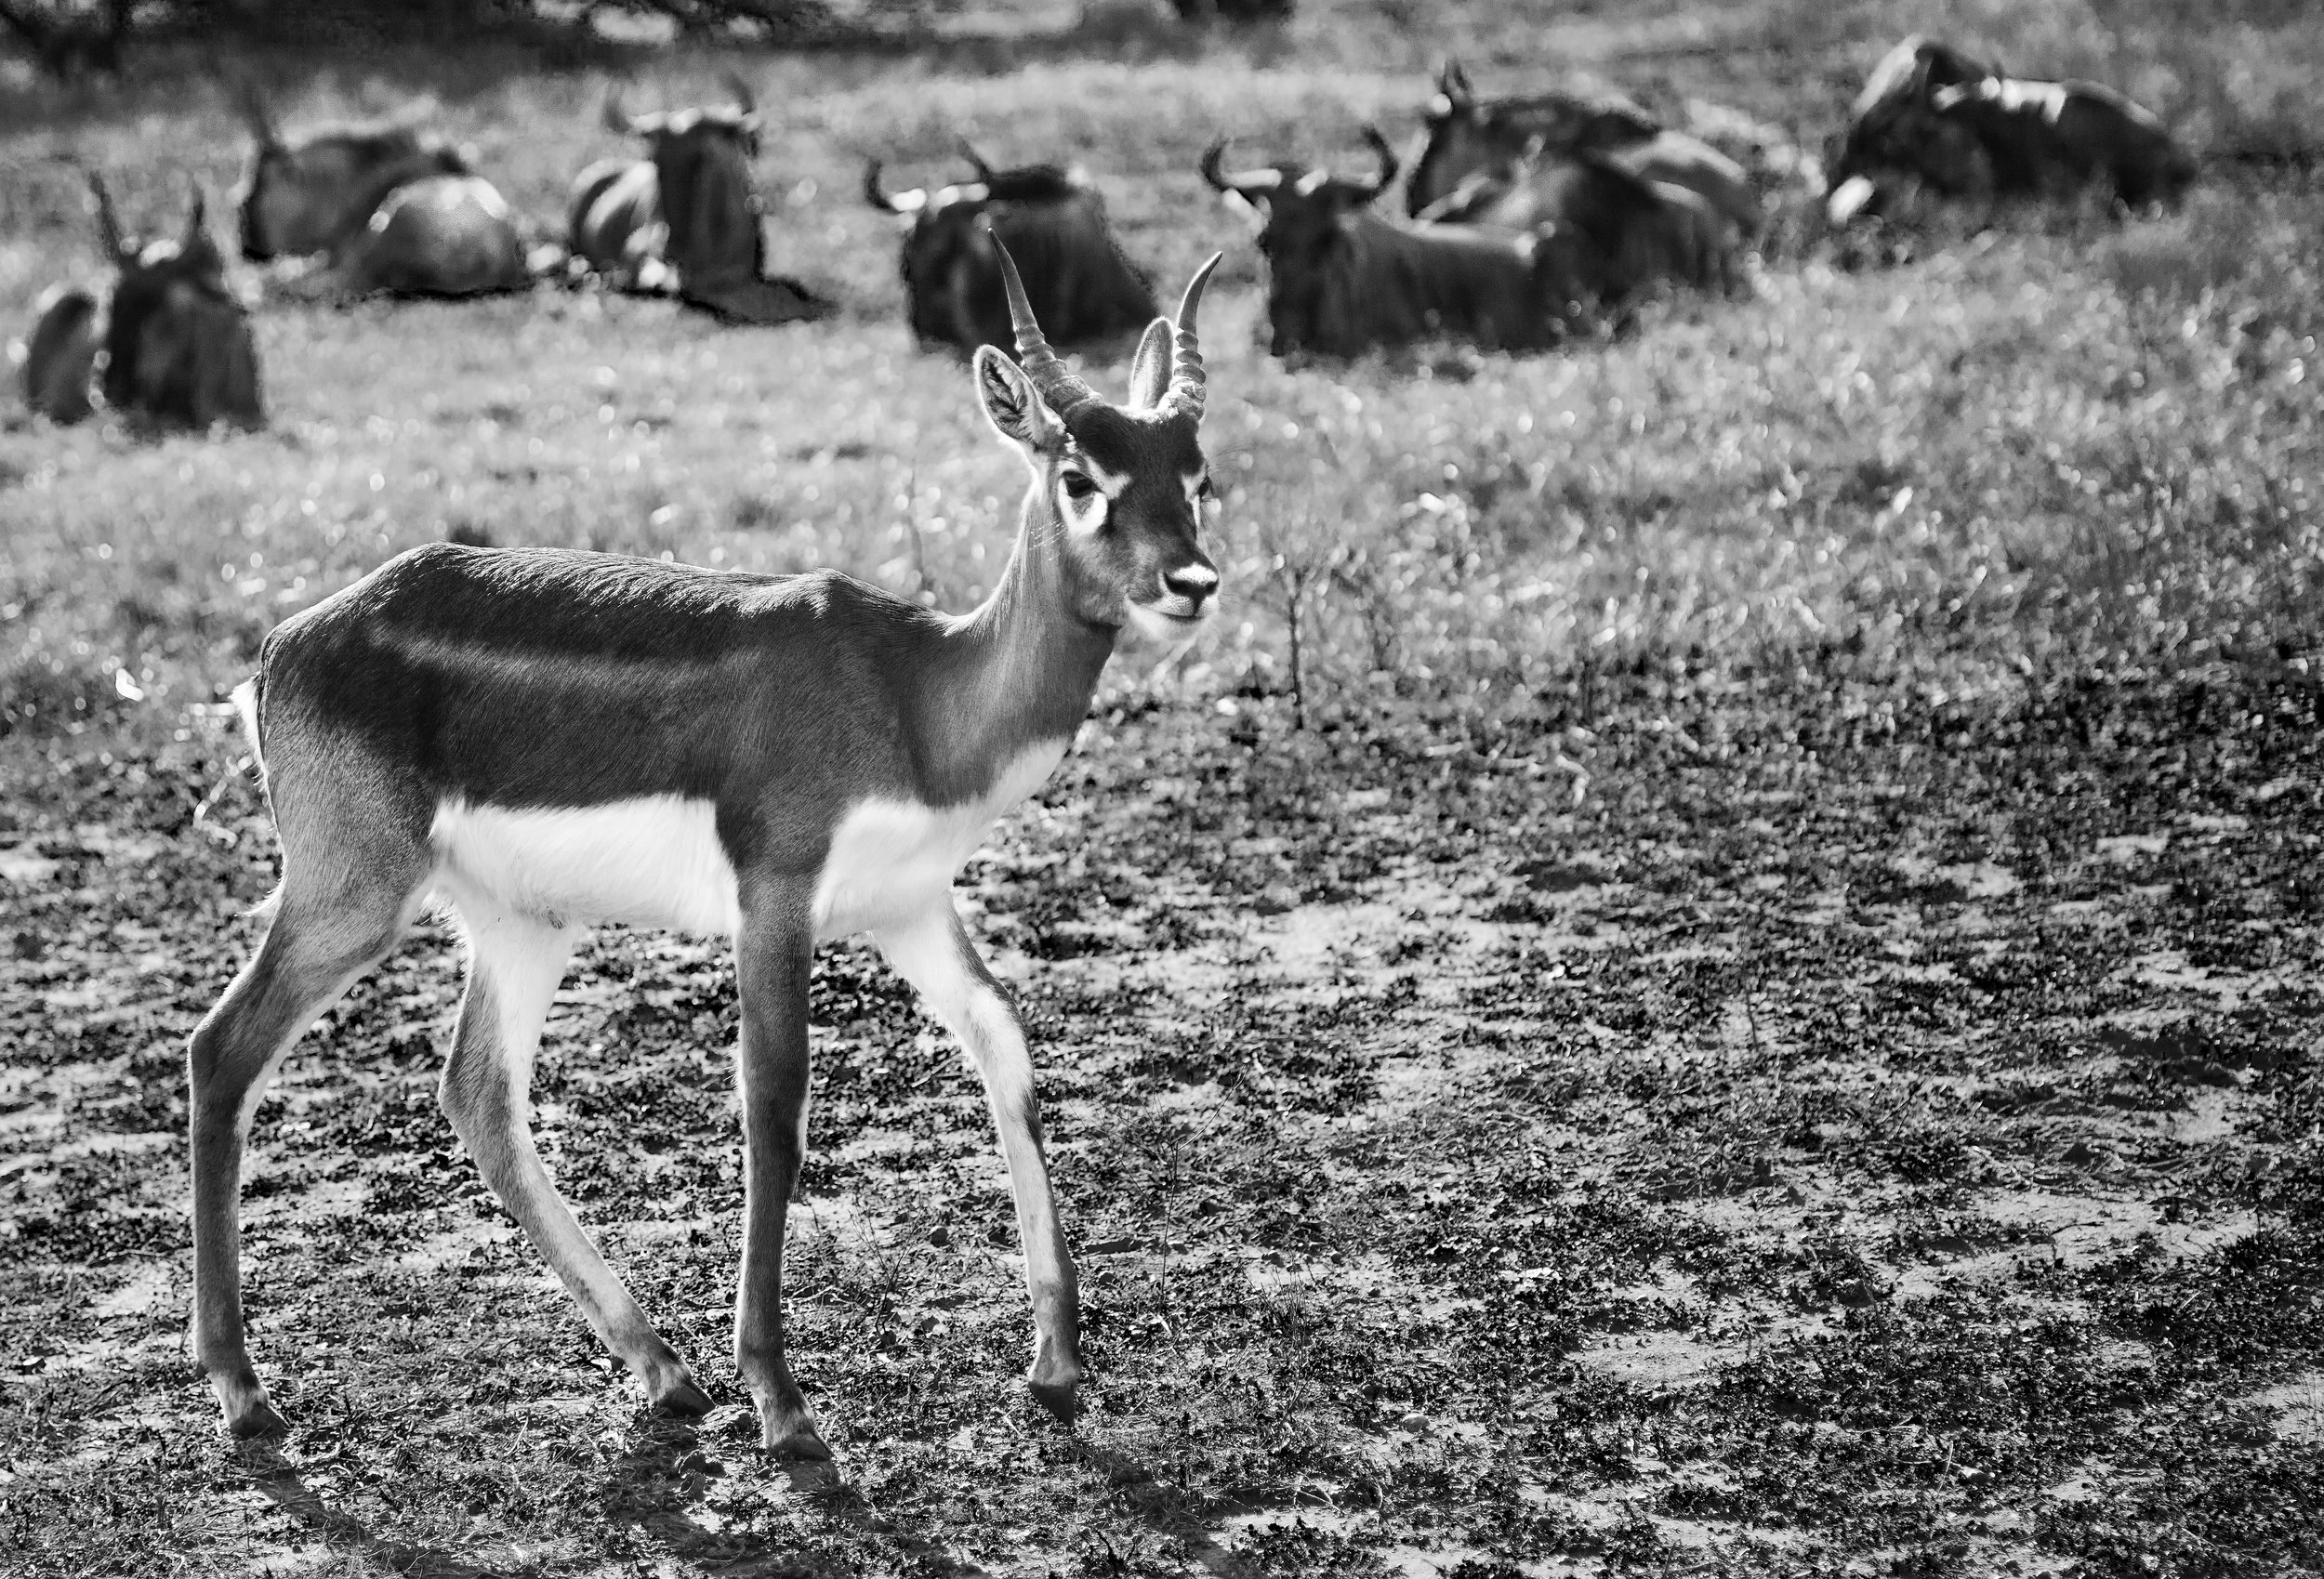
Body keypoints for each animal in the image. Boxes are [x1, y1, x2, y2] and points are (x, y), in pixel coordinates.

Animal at [195, 229, 1236, 1449]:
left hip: (522, 921)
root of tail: (282, 647)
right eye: (1081, 479)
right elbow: (773, 1109)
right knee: (221, 1051)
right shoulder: (774, 891)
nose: (1191, 582)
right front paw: (782, 1400)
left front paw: (1058, 1364)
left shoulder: (908, 903)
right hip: (353, 892)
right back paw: (243, 1389)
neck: (917, 697)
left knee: (477, 1094)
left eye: (1198, 479)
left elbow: (1006, 1051)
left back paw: (663, 1370)